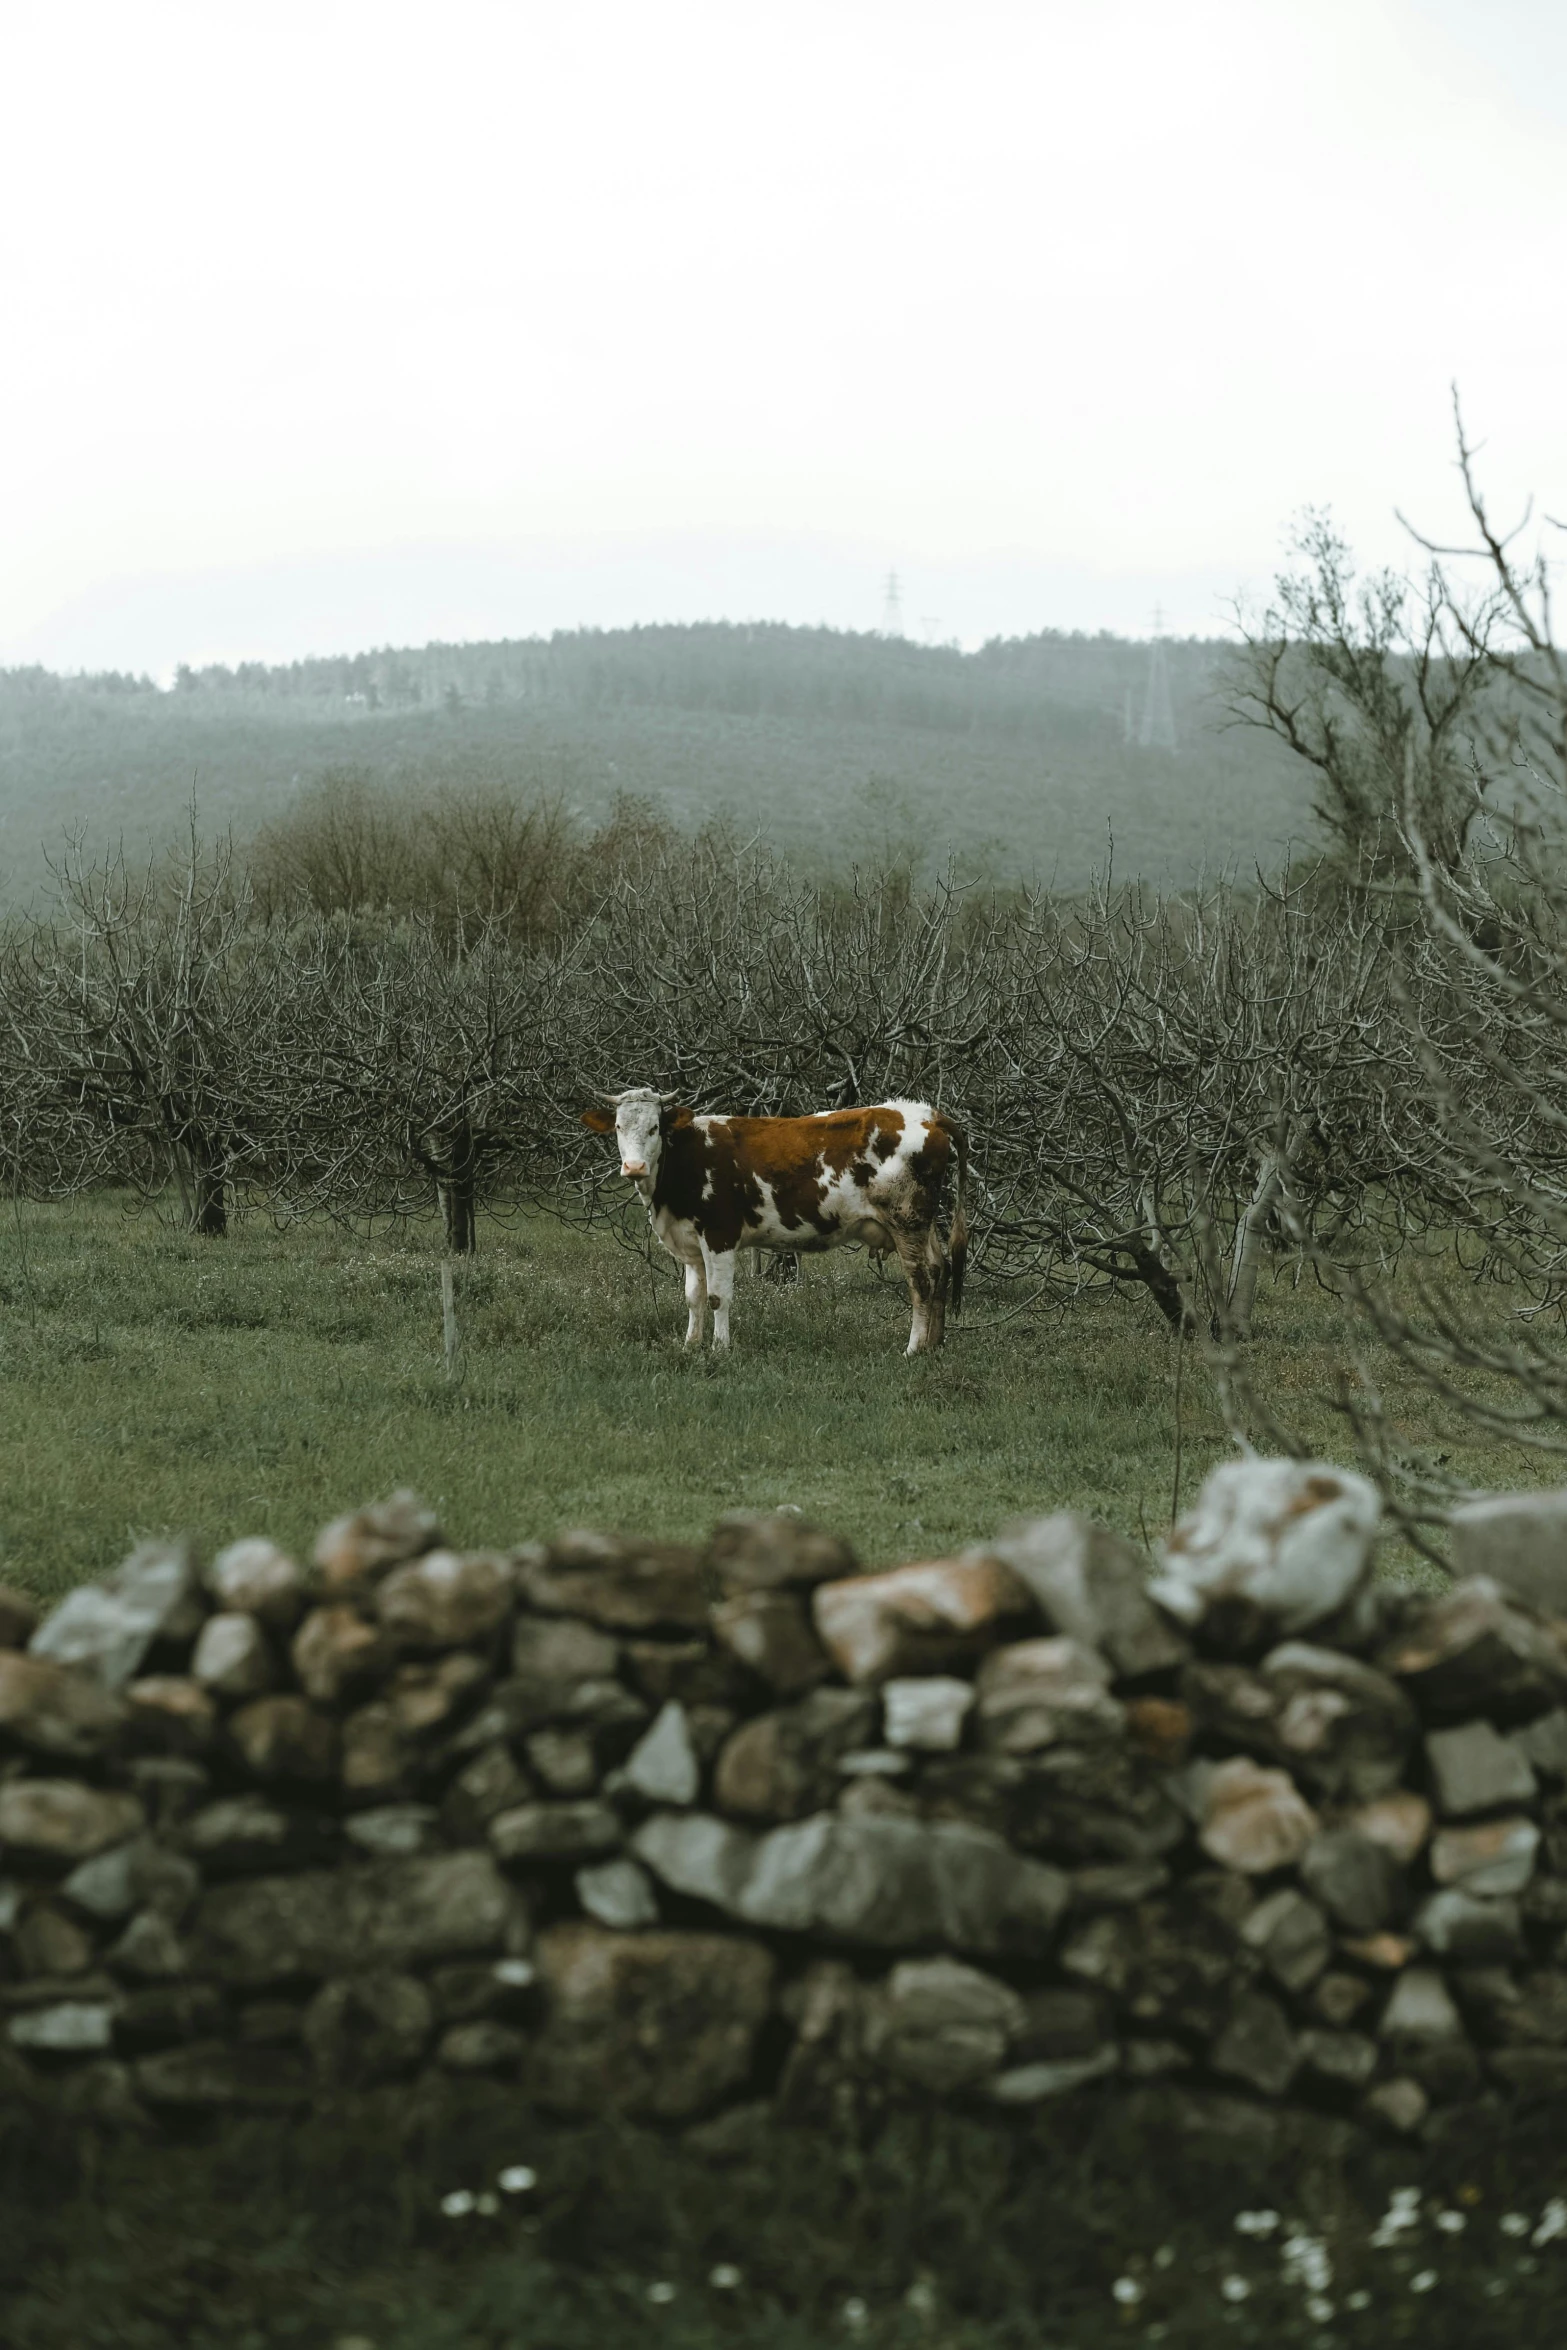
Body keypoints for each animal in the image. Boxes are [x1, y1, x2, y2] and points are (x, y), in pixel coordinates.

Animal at [580, 1085, 967, 1353]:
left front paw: (720, 1349)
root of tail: (925, 1112)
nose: (634, 1167)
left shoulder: (720, 1234)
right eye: (618, 1127)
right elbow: (693, 1297)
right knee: (940, 1268)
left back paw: (913, 1349)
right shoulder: (691, 1242)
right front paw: (691, 1345)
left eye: (655, 1128)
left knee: (921, 1280)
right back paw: (935, 1345)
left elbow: (717, 1296)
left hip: (906, 1219)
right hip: (922, 1222)